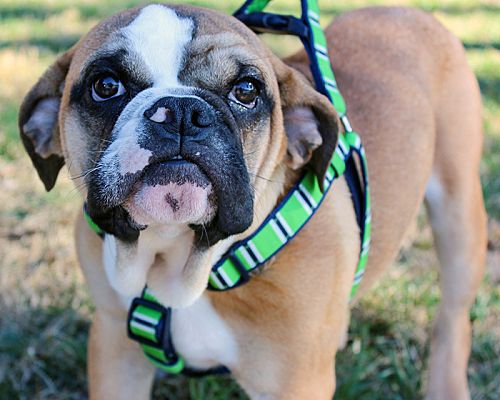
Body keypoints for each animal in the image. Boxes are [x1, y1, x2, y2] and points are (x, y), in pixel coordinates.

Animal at [17, 3, 486, 400]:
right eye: (106, 85)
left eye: (246, 91)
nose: (181, 111)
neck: (178, 259)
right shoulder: (115, 347)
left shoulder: (295, 385)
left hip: (459, 218)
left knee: (453, 319)